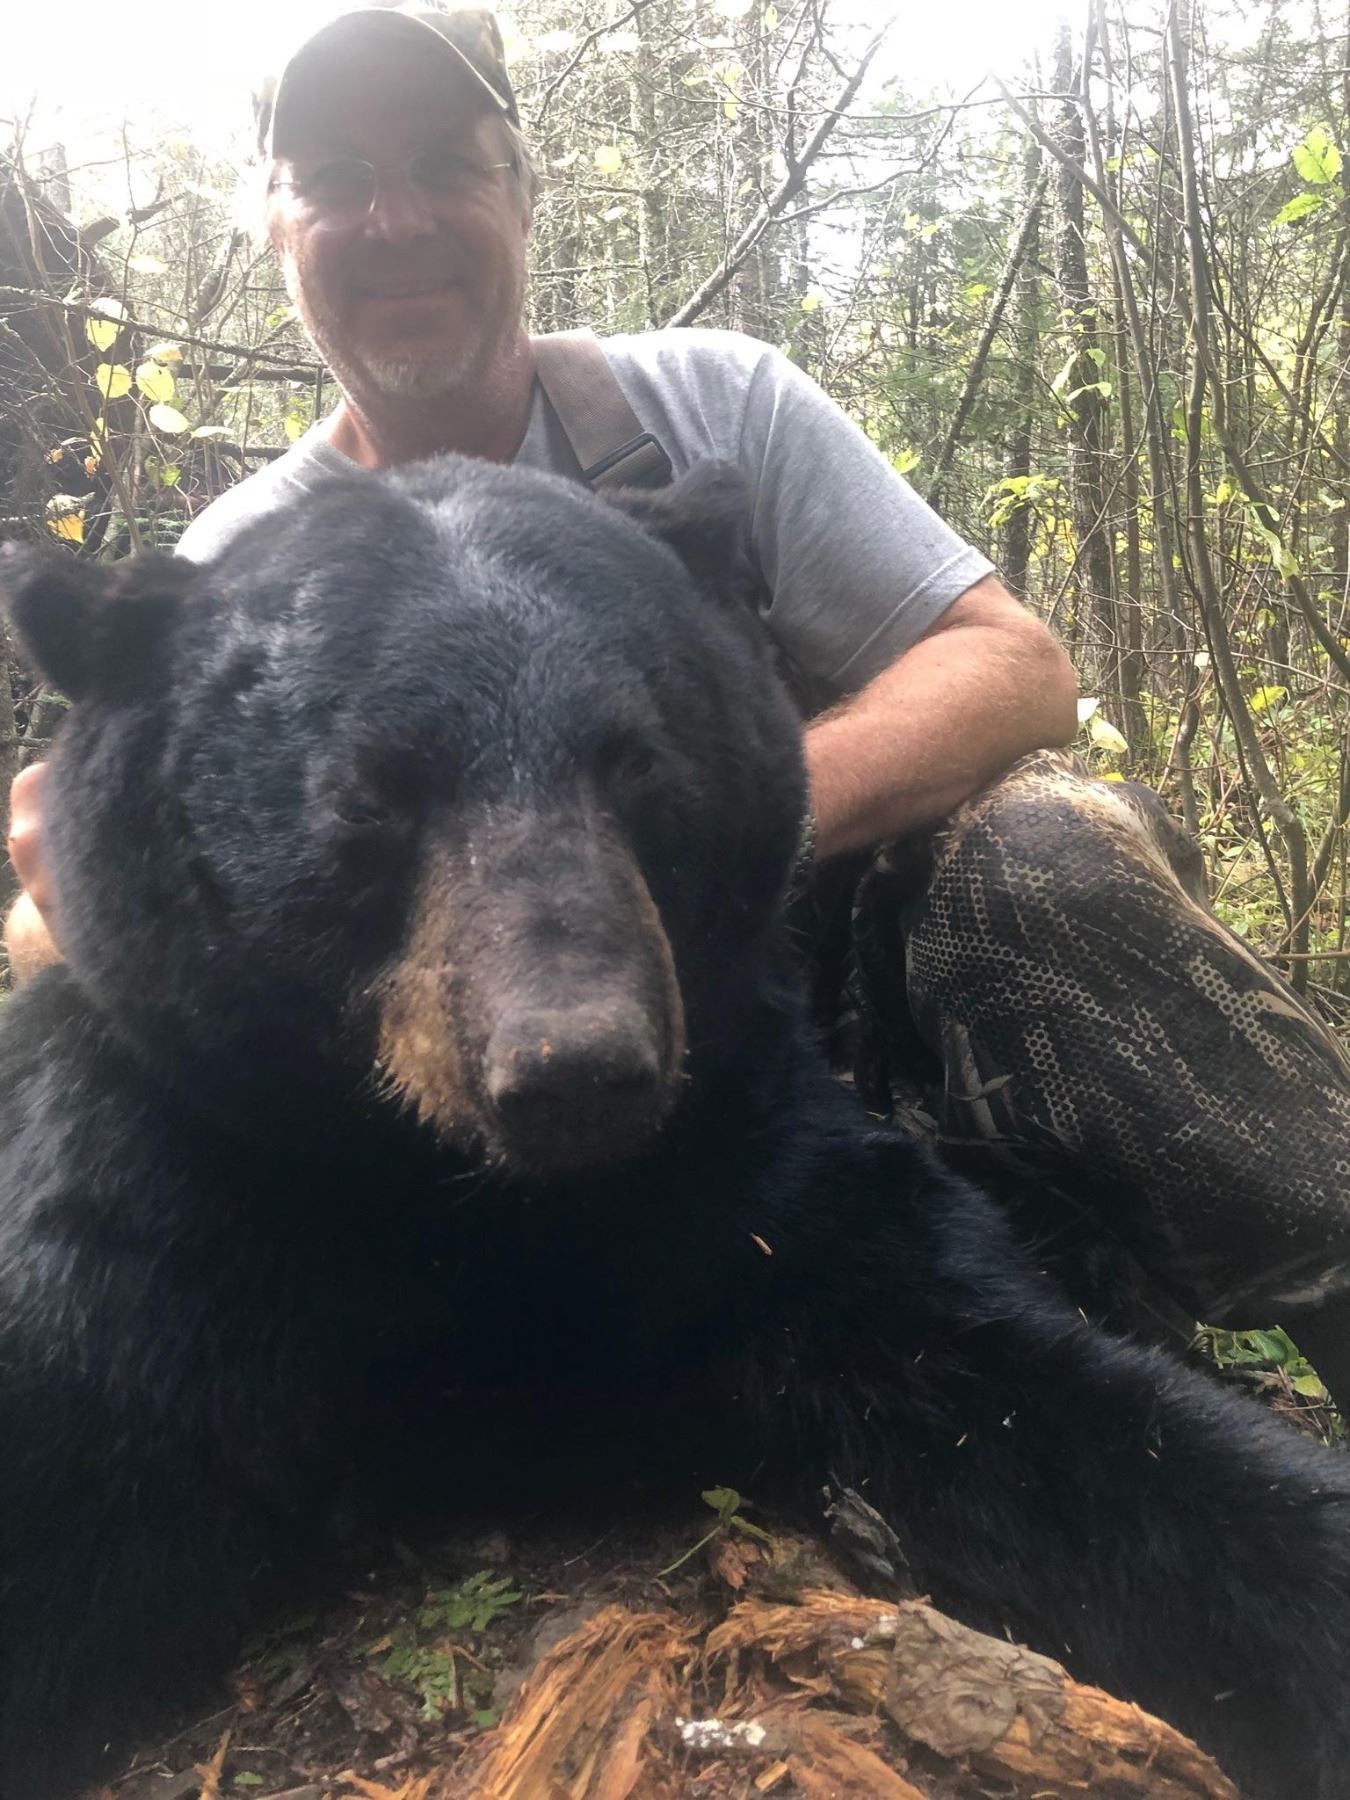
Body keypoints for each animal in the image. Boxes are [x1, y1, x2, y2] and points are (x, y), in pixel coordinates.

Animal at [0, 455, 1348, 1800]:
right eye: (372, 796)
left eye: (636, 760)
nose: (574, 1065)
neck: (479, 1202)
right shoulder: (183, 1220)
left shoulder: (759, 1183)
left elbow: (1064, 1408)